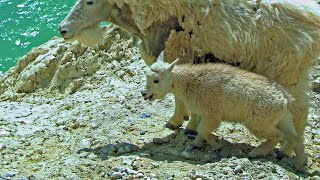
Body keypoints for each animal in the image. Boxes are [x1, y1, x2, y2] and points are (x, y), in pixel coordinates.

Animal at [58, 0, 320, 155]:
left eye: (90, 1)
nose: (63, 29)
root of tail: (313, 21)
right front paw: (189, 124)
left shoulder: (180, 52)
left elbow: (180, 95)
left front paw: (179, 123)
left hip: (287, 70)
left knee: (299, 111)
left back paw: (285, 150)